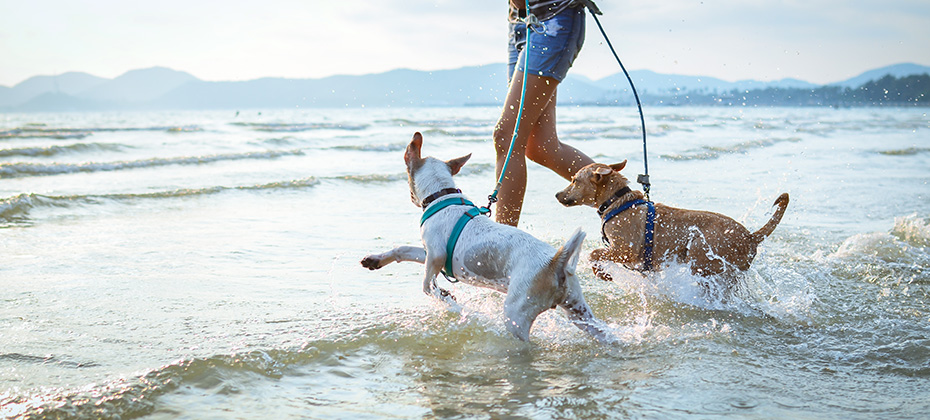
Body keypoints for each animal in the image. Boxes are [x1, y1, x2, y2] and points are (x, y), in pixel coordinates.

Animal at [360, 133, 608, 342]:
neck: (442, 196)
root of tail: (556, 262)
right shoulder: (430, 253)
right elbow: (403, 250)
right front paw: (375, 260)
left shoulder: (436, 255)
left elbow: (427, 285)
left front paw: (446, 298)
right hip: (579, 312)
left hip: (516, 314)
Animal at [556, 162, 788, 280]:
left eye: (574, 180)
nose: (557, 194)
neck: (618, 202)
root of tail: (751, 236)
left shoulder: (625, 250)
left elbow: (594, 253)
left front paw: (602, 273)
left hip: (700, 252)